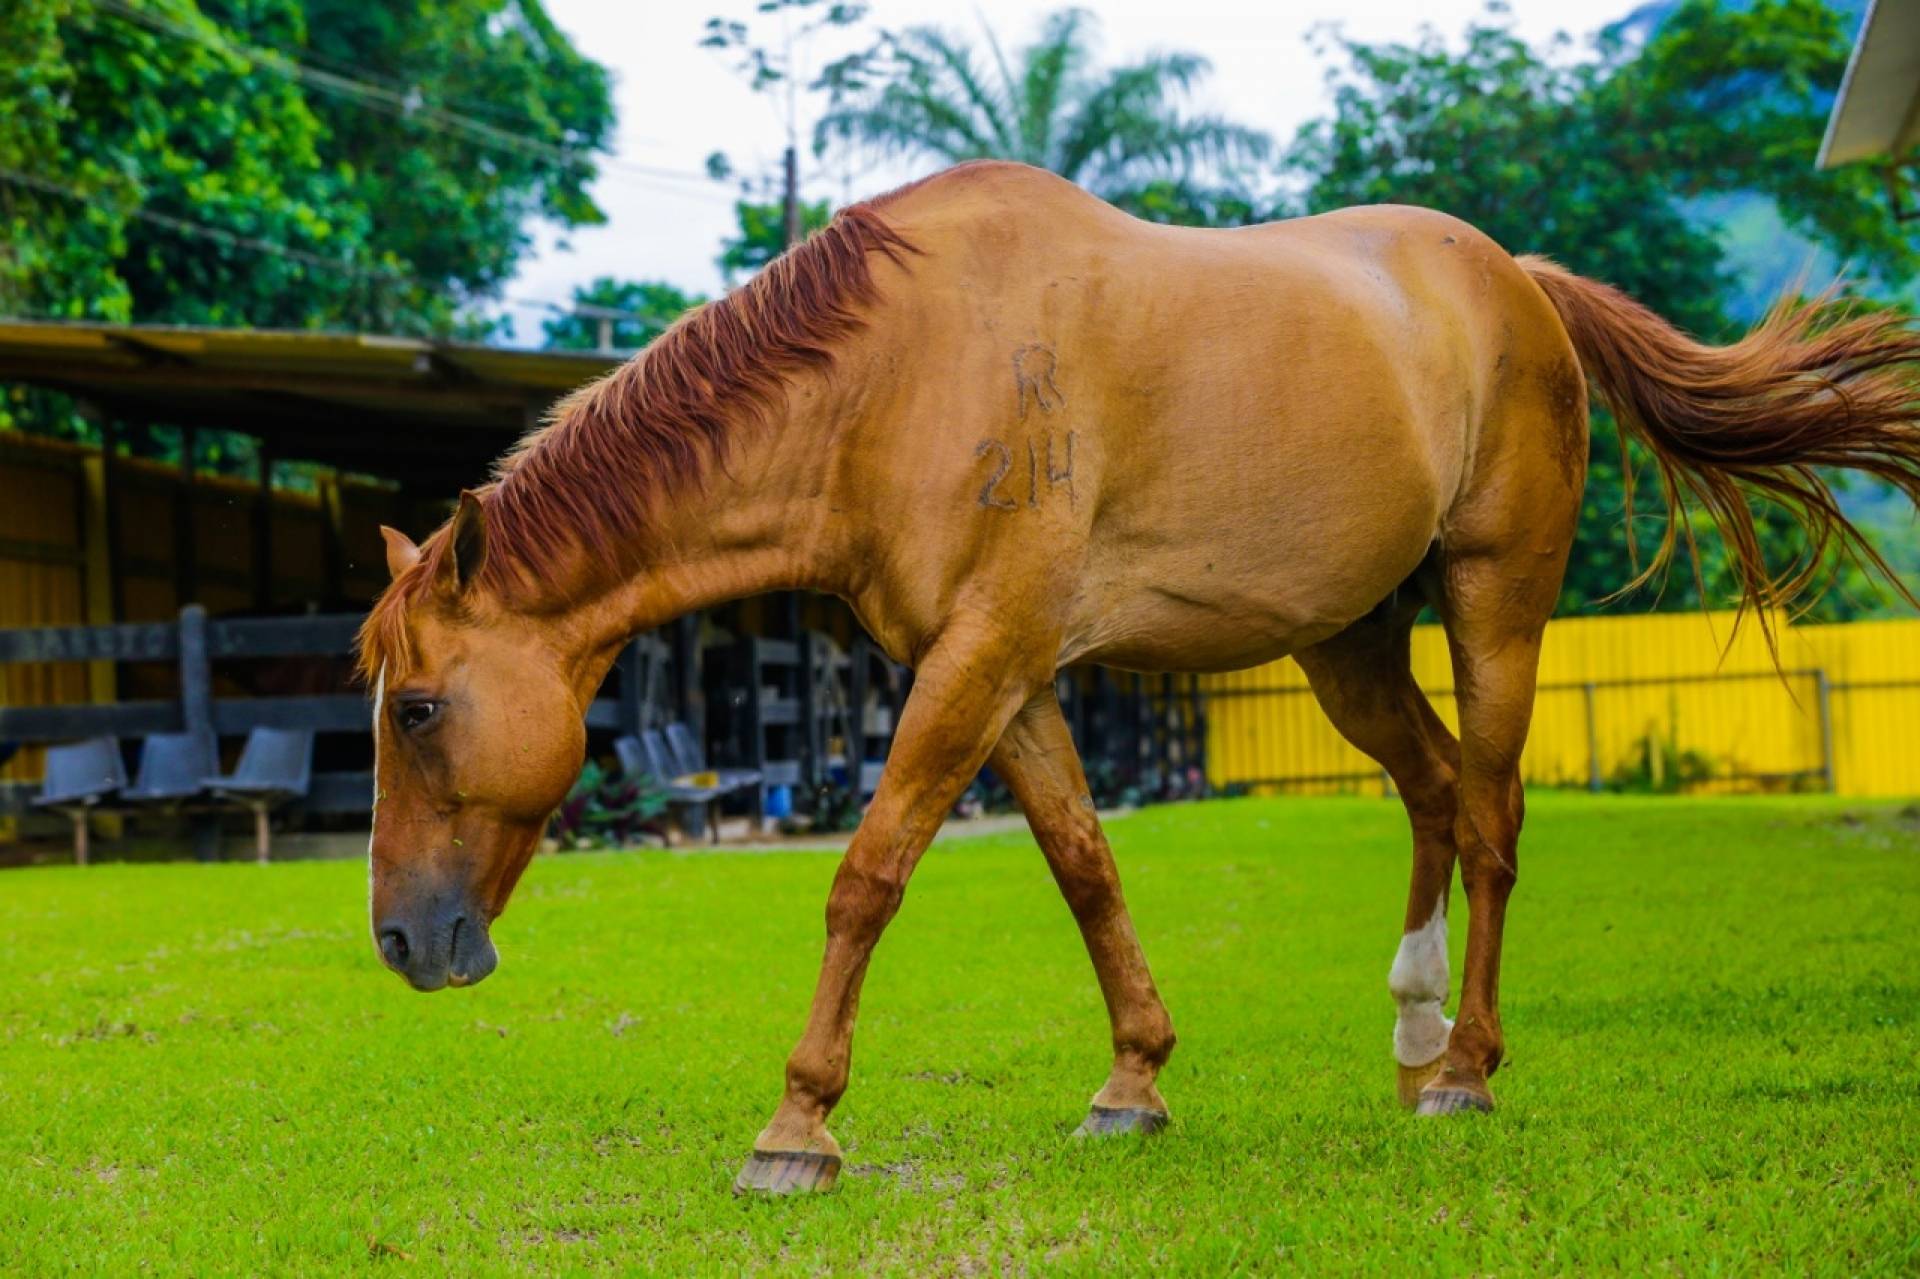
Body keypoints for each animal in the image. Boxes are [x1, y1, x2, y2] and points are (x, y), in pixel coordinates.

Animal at [360, 162, 1920, 1198]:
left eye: (416, 707)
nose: (398, 942)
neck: (895, 375)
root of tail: (1518, 283)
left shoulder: (981, 658)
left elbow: (868, 871)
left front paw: (796, 1126)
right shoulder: (1006, 673)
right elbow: (1085, 865)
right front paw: (1133, 1080)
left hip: (1497, 610)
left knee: (1488, 815)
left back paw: (1468, 1068)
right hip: (1348, 641)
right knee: (1426, 790)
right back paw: (1414, 1033)